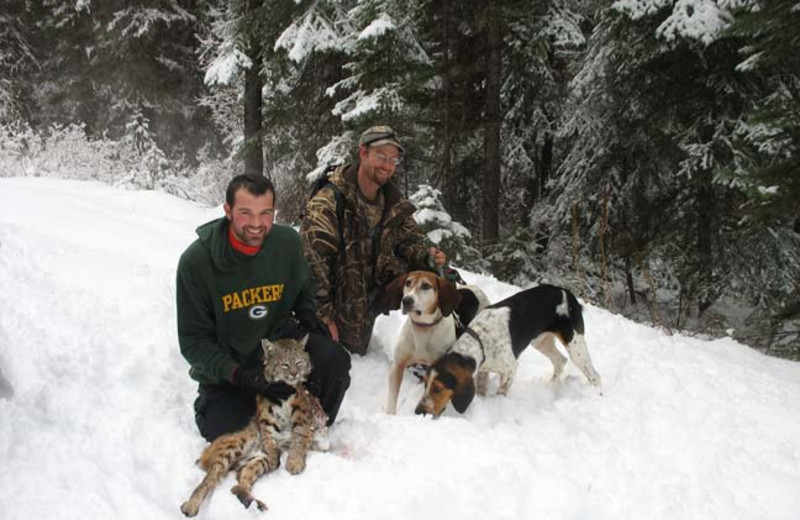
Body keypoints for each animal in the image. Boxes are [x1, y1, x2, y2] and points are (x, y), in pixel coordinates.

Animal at [380, 272, 488, 414]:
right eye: (408, 283)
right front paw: (390, 415)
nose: (407, 300)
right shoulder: (398, 366)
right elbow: (392, 399)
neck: (423, 328)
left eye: (426, 286)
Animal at [416, 284, 596, 418]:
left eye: (438, 389)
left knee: (594, 376)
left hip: (575, 346)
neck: (480, 339)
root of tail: (569, 294)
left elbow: (501, 393)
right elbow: (481, 389)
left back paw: (596, 394)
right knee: (560, 360)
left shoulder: (510, 371)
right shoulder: (483, 369)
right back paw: (550, 386)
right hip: (540, 342)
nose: (418, 412)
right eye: (425, 383)